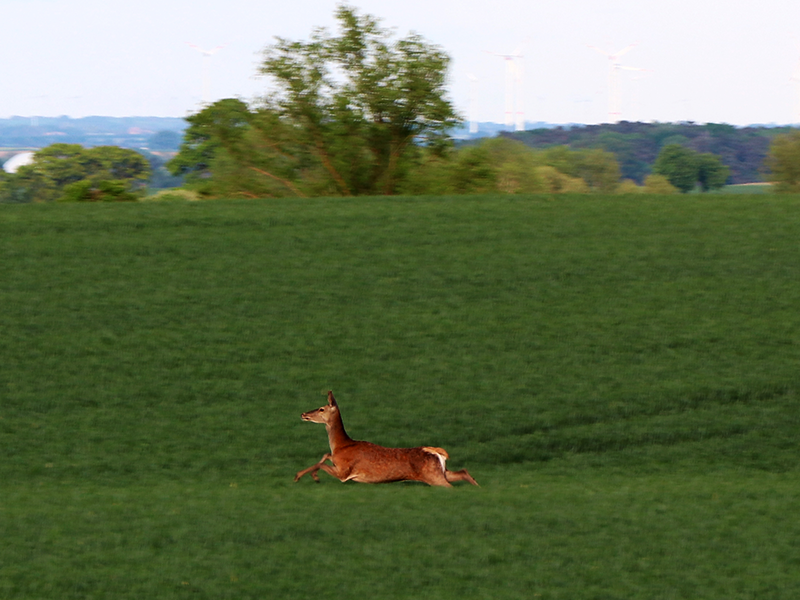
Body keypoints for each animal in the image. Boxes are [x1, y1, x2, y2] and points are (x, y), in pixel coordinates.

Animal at [294, 391, 479, 487]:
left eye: (321, 408)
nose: (303, 414)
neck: (342, 445)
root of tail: (435, 451)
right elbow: (325, 456)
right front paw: (312, 476)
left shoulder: (344, 472)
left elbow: (322, 463)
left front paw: (302, 476)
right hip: (442, 472)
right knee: (463, 472)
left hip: (434, 476)